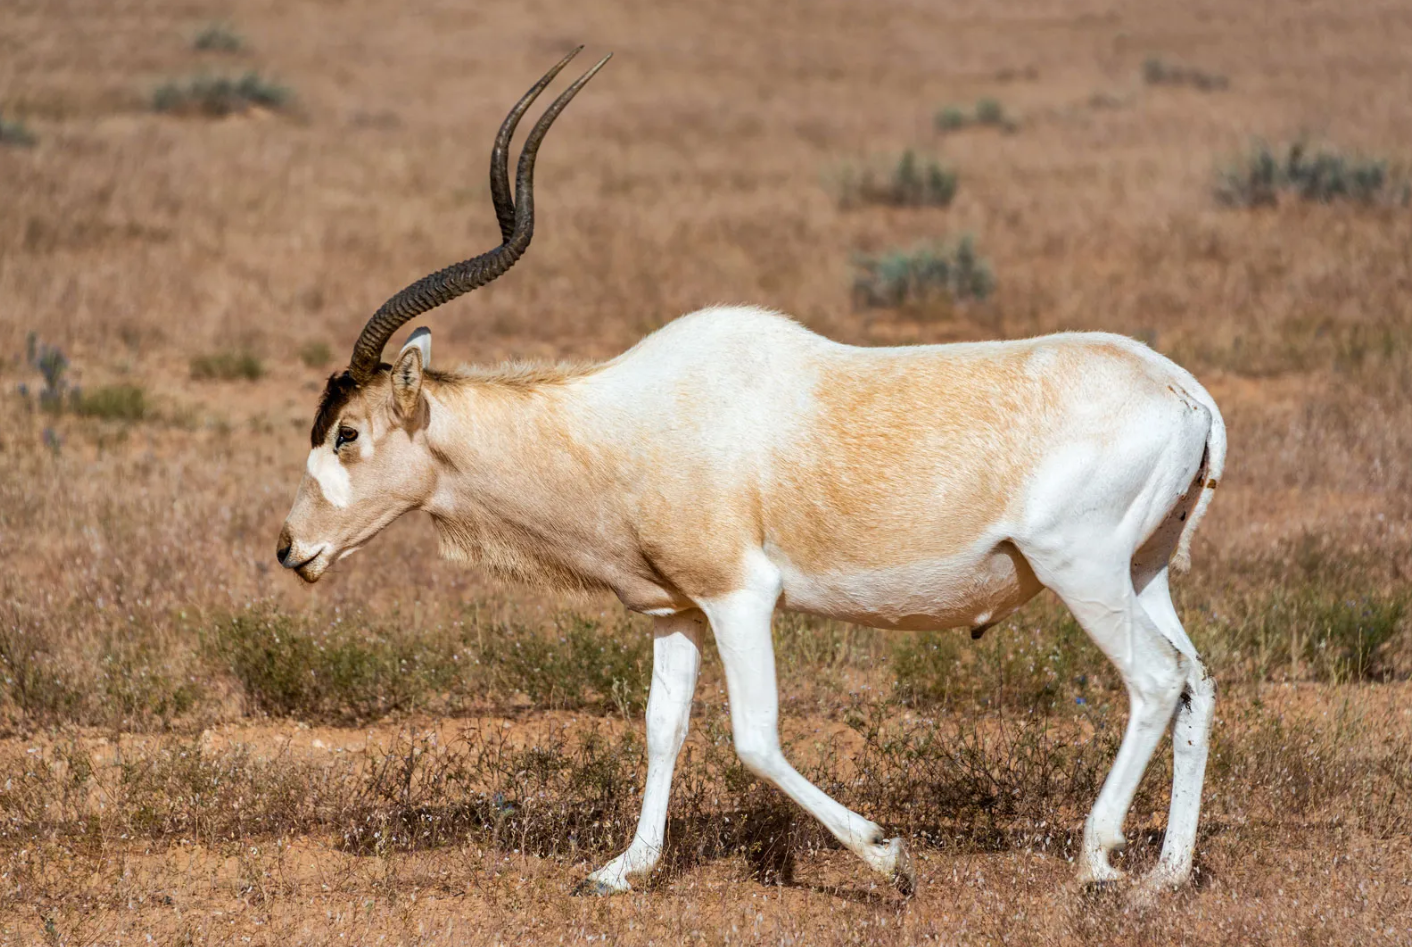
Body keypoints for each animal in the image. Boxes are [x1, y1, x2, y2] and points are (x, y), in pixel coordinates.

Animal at [278, 47, 1225, 897]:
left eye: (349, 433)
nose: (292, 549)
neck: (620, 421)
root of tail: (1186, 394)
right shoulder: (676, 609)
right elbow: (663, 726)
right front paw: (622, 870)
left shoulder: (741, 598)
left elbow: (755, 738)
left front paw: (888, 856)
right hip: (1141, 571)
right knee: (1195, 680)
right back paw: (1167, 874)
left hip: (1082, 570)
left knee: (1153, 680)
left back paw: (1097, 861)